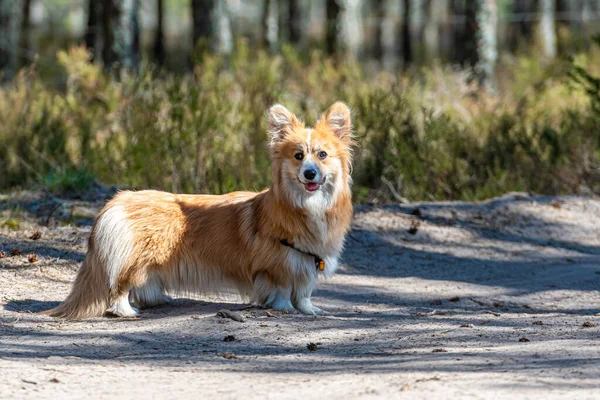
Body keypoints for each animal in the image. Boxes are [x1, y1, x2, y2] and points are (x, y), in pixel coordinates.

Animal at [48, 102, 356, 318]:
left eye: (322, 155)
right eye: (298, 156)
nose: (310, 173)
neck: (308, 207)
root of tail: (116, 202)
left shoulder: (307, 261)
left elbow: (304, 291)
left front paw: (309, 310)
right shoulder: (277, 265)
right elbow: (282, 290)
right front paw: (285, 309)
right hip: (134, 261)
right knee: (119, 288)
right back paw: (127, 311)